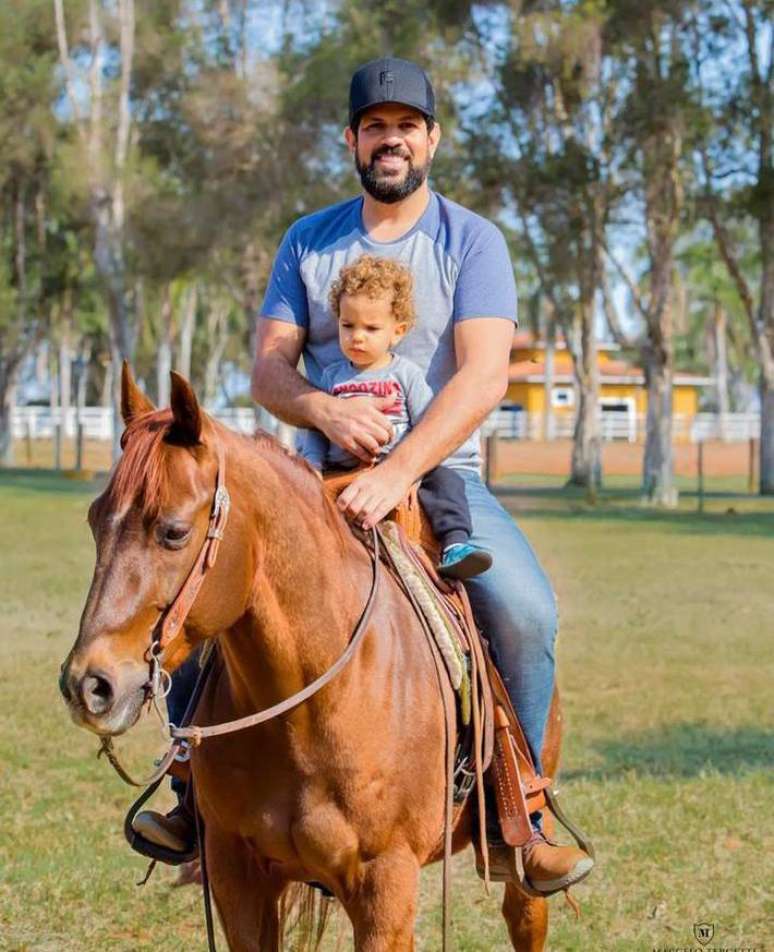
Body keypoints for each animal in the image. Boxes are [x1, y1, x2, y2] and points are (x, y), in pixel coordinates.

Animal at [57, 366, 560, 952]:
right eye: (95, 520)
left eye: (174, 531)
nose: (89, 685)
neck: (310, 706)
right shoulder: (236, 875)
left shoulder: (385, 883)